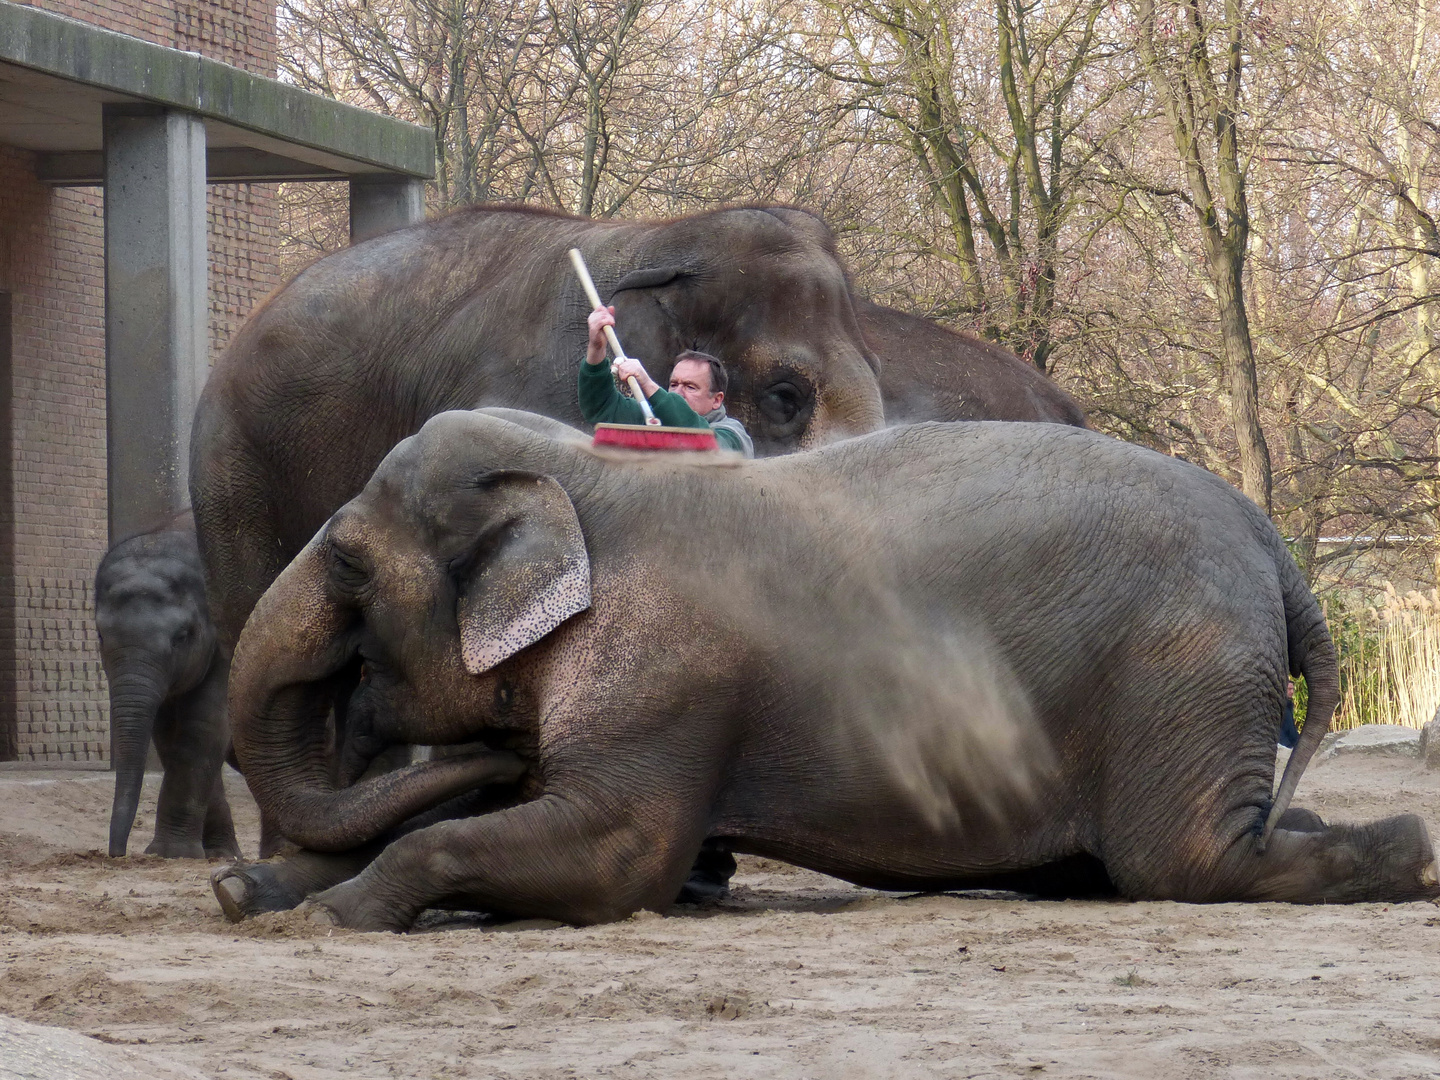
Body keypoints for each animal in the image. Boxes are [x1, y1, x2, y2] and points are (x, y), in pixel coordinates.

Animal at [92, 512, 236, 858]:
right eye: (100, 635)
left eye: (182, 636)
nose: (116, 853)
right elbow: (169, 734)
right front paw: (219, 855)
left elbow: (207, 724)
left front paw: (173, 853)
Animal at [213, 408, 1440, 933]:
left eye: (348, 561)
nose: (488, 747)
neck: (581, 467)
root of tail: (1278, 550)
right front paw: (252, 896)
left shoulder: (667, 678)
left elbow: (616, 860)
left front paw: (341, 914)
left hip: (1179, 667)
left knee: (1181, 860)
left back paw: (1408, 852)